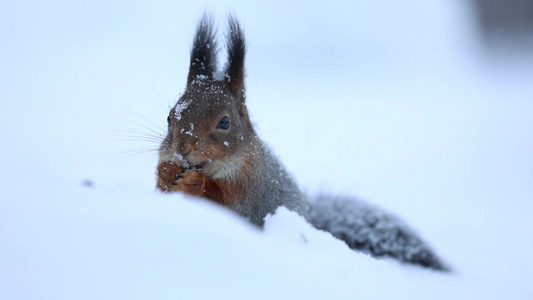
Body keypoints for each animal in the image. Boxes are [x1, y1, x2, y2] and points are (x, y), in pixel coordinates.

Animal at [155, 14, 448, 272]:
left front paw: (194, 183)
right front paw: (165, 172)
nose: (181, 148)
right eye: (169, 117)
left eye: (225, 122)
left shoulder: (250, 190)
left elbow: (224, 203)